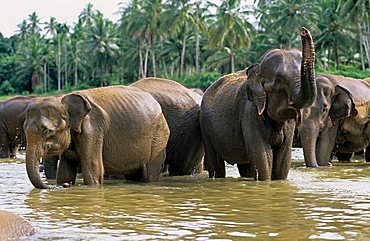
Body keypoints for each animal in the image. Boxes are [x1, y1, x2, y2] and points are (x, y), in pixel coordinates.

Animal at [23, 85, 171, 189]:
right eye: (24, 129)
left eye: (47, 131)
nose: (64, 186)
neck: (63, 98)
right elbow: (65, 171)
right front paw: (65, 181)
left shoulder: (93, 130)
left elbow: (93, 171)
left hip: (158, 138)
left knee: (150, 173)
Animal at [198, 27, 316, 180]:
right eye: (279, 80)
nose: (303, 31)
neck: (258, 70)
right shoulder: (249, 113)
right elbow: (262, 158)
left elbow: (283, 160)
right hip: (205, 126)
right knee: (216, 165)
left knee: (245, 166)